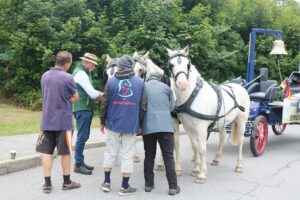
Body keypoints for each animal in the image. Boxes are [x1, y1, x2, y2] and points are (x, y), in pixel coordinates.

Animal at [168, 46, 250, 184]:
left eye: (187, 65)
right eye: (171, 65)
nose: (183, 84)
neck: (192, 96)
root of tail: (240, 86)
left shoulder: (201, 127)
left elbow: (202, 149)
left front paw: (201, 174)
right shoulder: (188, 127)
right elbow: (195, 146)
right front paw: (196, 170)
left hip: (242, 121)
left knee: (240, 141)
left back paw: (239, 165)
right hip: (222, 122)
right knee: (222, 137)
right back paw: (216, 159)